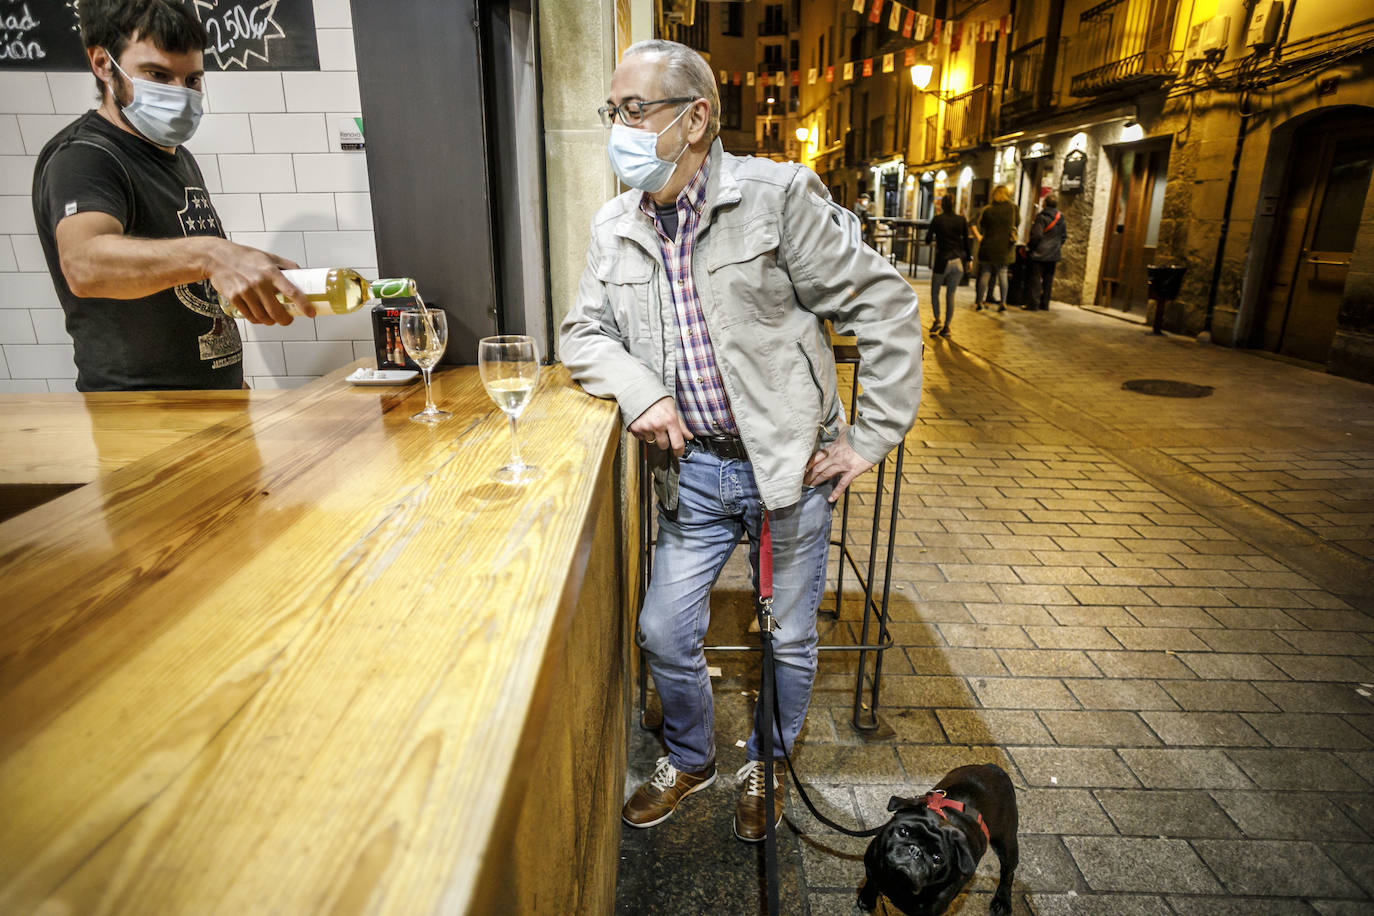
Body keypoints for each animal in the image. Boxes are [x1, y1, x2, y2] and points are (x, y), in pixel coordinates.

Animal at [857, 758, 1022, 916]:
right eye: (903, 832)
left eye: (937, 859)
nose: (915, 851)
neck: (897, 882)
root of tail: (994, 768)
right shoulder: (872, 868)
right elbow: (872, 883)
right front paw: (867, 899)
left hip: (1007, 843)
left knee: (1008, 872)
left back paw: (1002, 901)